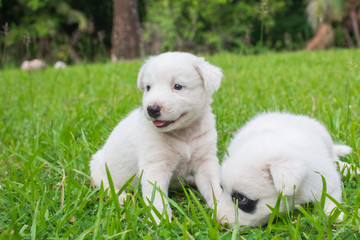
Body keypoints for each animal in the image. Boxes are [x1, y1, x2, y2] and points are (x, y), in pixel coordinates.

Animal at [90, 52, 224, 223]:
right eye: (148, 88)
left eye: (178, 86)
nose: (152, 109)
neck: (183, 134)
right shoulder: (155, 165)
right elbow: (157, 196)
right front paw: (161, 219)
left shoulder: (206, 161)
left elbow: (213, 186)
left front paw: (223, 209)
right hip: (98, 167)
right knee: (106, 185)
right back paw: (120, 197)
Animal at [217, 112, 352, 227]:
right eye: (221, 188)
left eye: (241, 198)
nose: (218, 222)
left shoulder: (324, 178)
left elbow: (330, 197)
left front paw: (335, 215)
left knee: (334, 156)